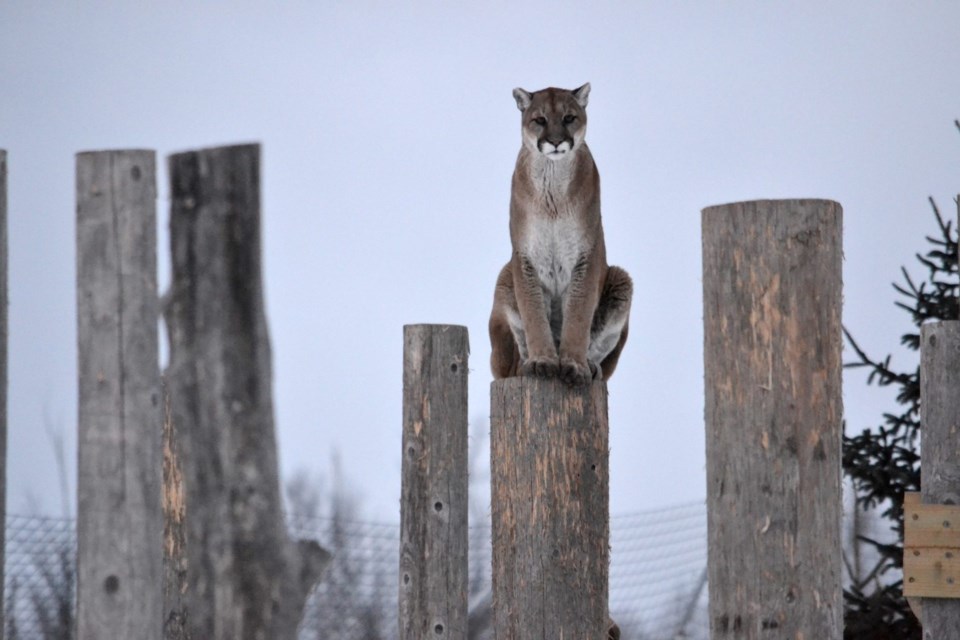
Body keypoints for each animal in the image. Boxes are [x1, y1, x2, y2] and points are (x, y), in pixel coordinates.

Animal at [492, 84, 632, 384]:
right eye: (540, 120)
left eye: (569, 118)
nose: (556, 141)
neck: (552, 189)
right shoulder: (525, 256)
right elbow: (534, 313)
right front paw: (542, 360)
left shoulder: (586, 254)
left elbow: (578, 314)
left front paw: (574, 365)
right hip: (505, 276)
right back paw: (525, 365)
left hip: (620, 279)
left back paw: (591, 366)